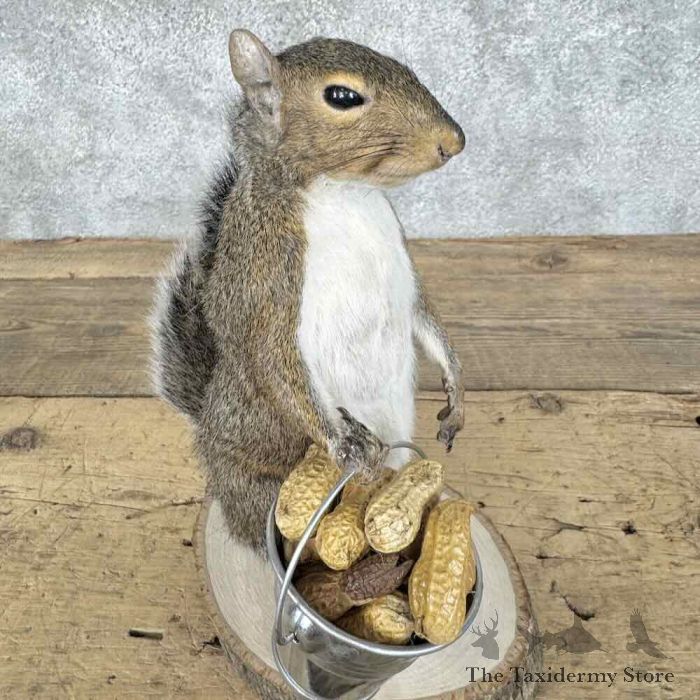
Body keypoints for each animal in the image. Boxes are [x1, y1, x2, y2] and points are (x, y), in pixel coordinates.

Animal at [151, 29, 465, 553]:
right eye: (342, 96)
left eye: (404, 66)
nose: (453, 141)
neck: (345, 194)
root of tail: (207, 432)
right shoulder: (265, 275)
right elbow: (273, 358)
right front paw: (342, 441)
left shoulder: (404, 270)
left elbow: (425, 317)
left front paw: (456, 390)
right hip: (262, 485)